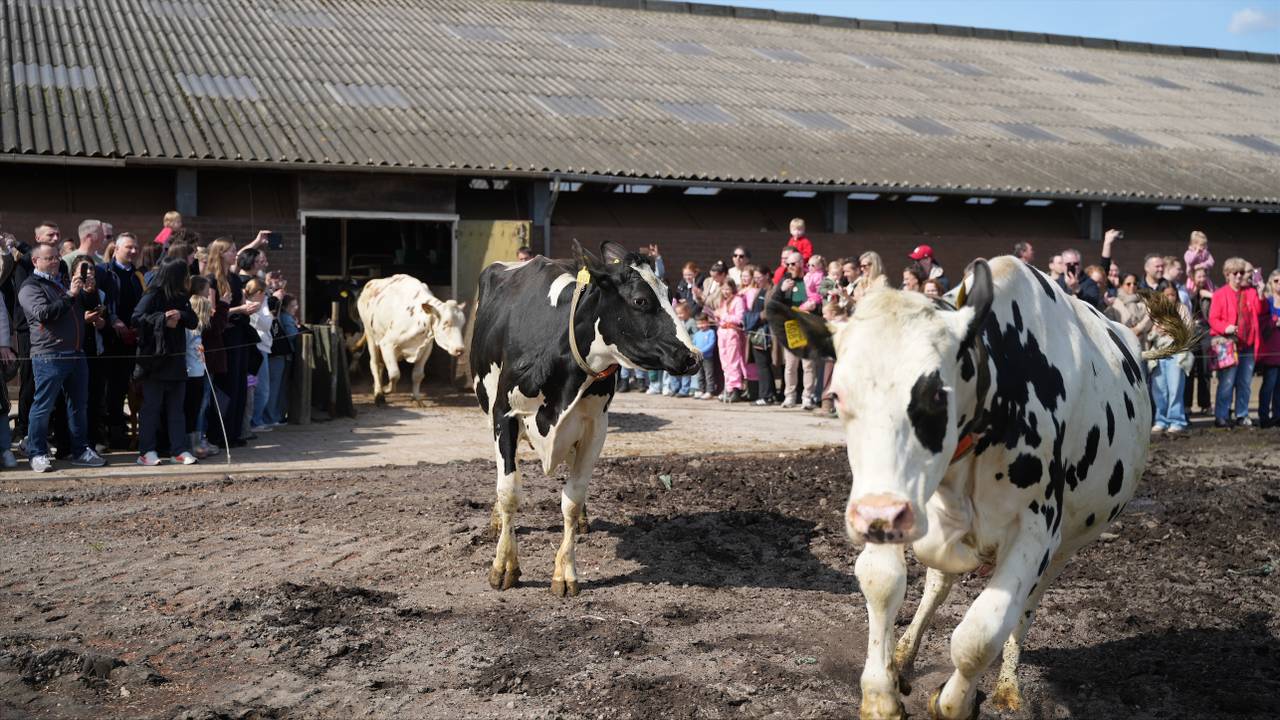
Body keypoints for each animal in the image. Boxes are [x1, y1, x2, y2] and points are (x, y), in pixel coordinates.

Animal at [355, 274, 467, 405]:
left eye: (462, 324)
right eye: (446, 324)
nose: (460, 349)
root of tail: (370, 283)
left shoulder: (426, 348)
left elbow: (418, 375)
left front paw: (417, 398)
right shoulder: (387, 344)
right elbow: (394, 373)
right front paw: (386, 389)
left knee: (381, 365)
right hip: (370, 335)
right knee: (375, 364)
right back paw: (379, 394)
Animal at [470, 241, 700, 596]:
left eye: (670, 293)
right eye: (640, 300)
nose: (693, 357)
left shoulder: (595, 427)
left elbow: (572, 498)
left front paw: (565, 571)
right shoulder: (504, 415)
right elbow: (509, 490)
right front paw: (504, 564)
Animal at [770, 256, 1194, 720]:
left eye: (938, 394)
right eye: (838, 394)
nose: (875, 515)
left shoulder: (1036, 529)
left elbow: (980, 633)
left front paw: (956, 702)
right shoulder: (891, 495)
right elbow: (882, 582)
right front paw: (881, 693)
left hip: (1065, 546)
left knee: (1024, 609)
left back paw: (1008, 687)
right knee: (937, 585)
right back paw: (904, 655)